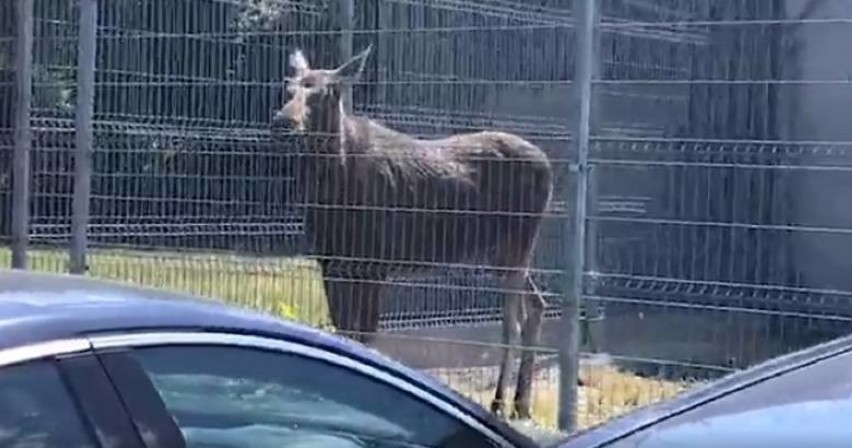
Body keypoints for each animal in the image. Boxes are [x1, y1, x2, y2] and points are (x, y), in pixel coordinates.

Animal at [270, 43, 556, 418]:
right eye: (288, 88)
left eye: (327, 92)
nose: (283, 122)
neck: (331, 193)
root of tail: (550, 167)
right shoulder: (331, 263)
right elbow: (343, 331)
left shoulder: (374, 264)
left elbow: (364, 335)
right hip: (502, 252)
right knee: (536, 305)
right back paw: (520, 404)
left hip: (517, 245)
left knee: (513, 320)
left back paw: (501, 402)